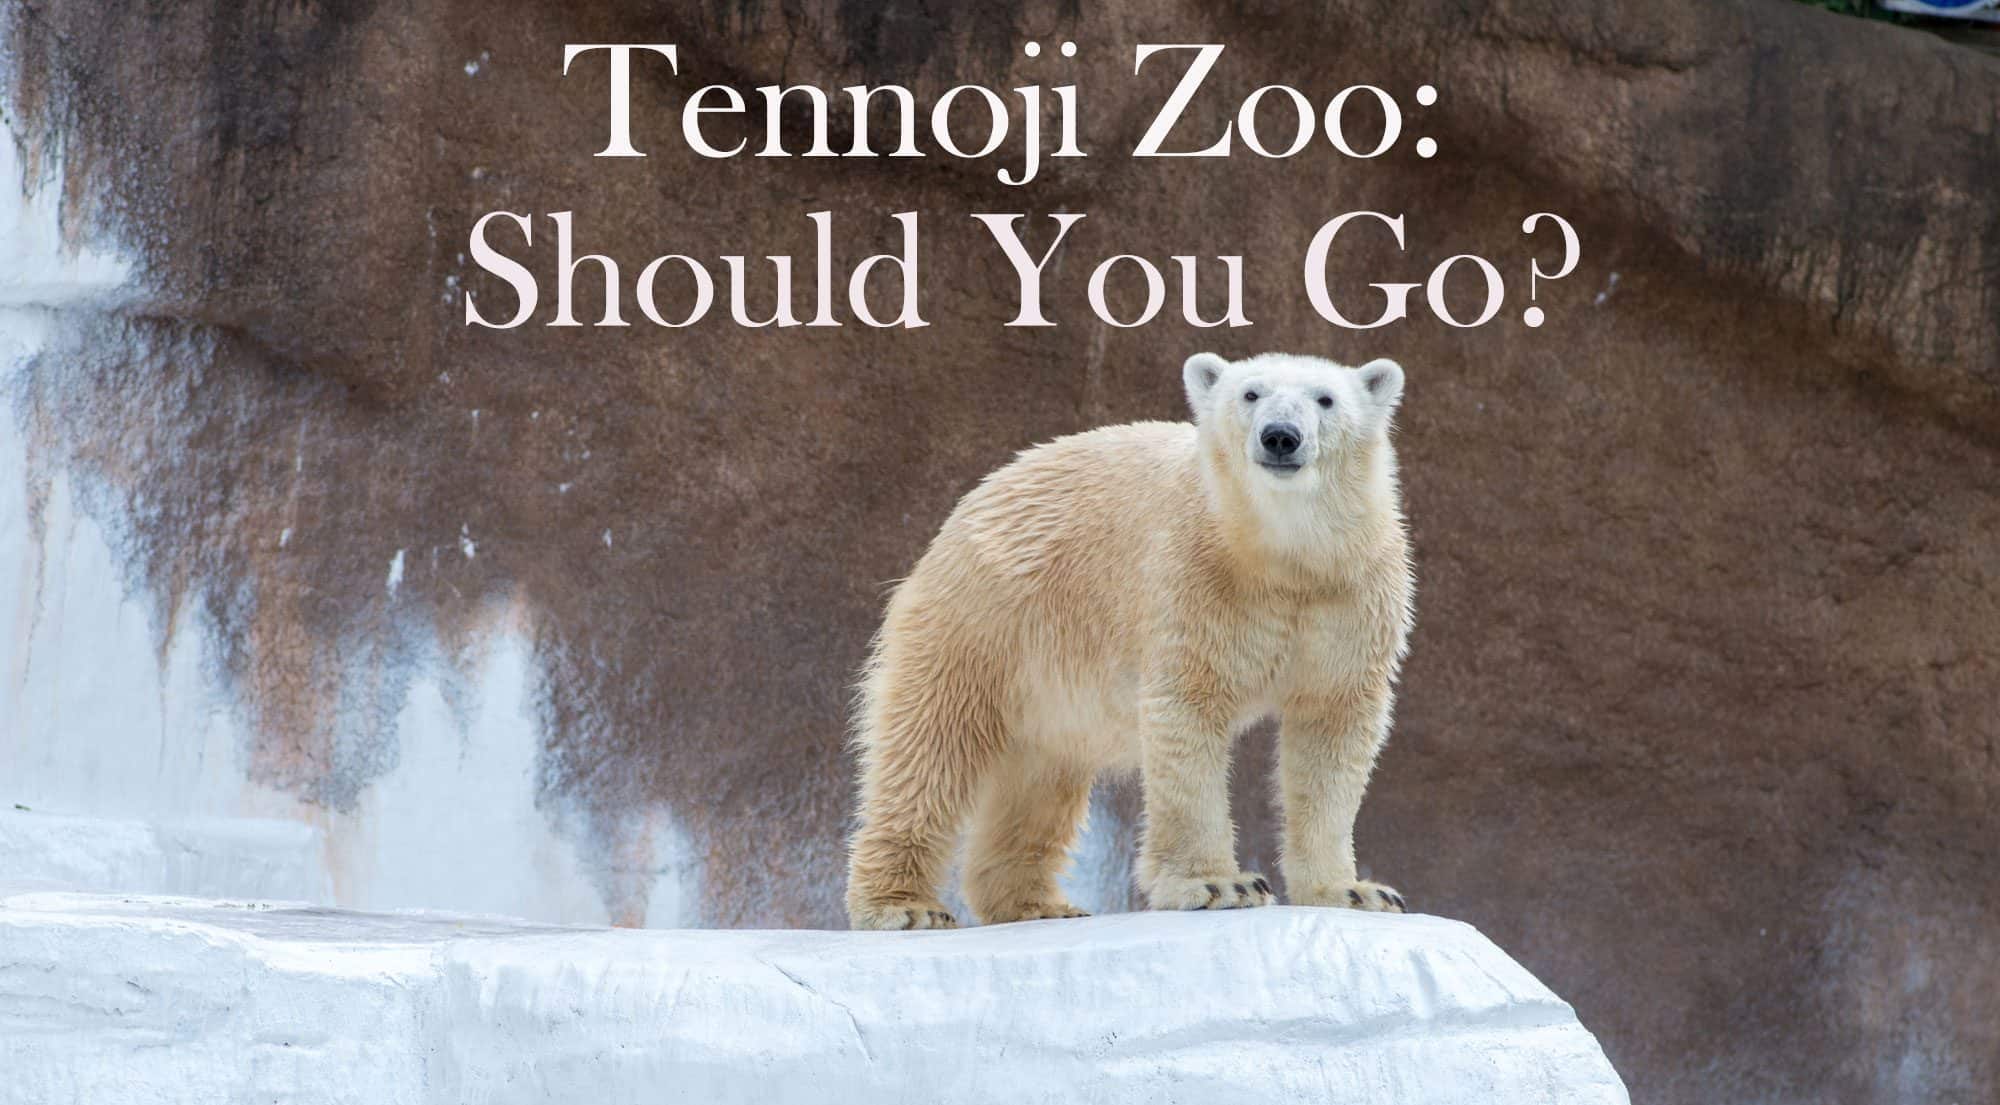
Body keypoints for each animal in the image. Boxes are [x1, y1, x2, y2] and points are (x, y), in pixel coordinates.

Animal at [845, 351, 1414, 930]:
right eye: (1250, 393)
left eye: (1326, 399)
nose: (1280, 436)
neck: (1282, 558)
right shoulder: (1197, 579)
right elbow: (1188, 715)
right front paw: (1217, 884)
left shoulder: (1350, 597)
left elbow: (1332, 729)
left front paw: (1352, 891)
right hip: (983, 622)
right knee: (930, 747)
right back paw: (904, 906)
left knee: (1037, 783)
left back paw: (1037, 904)